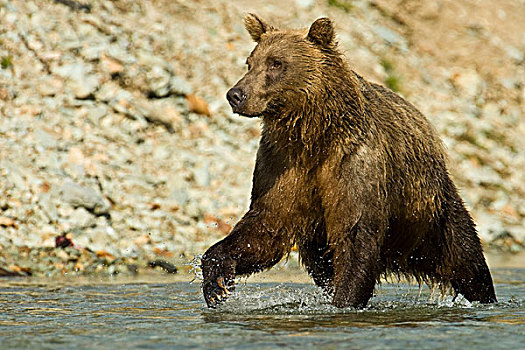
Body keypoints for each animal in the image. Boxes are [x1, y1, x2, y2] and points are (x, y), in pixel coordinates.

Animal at [201, 13, 496, 308]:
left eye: (276, 63)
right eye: (250, 62)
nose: (235, 94)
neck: (313, 135)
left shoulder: (355, 163)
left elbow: (356, 234)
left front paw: (345, 300)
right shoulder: (282, 164)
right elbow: (265, 227)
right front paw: (217, 283)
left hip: (430, 211)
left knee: (465, 257)